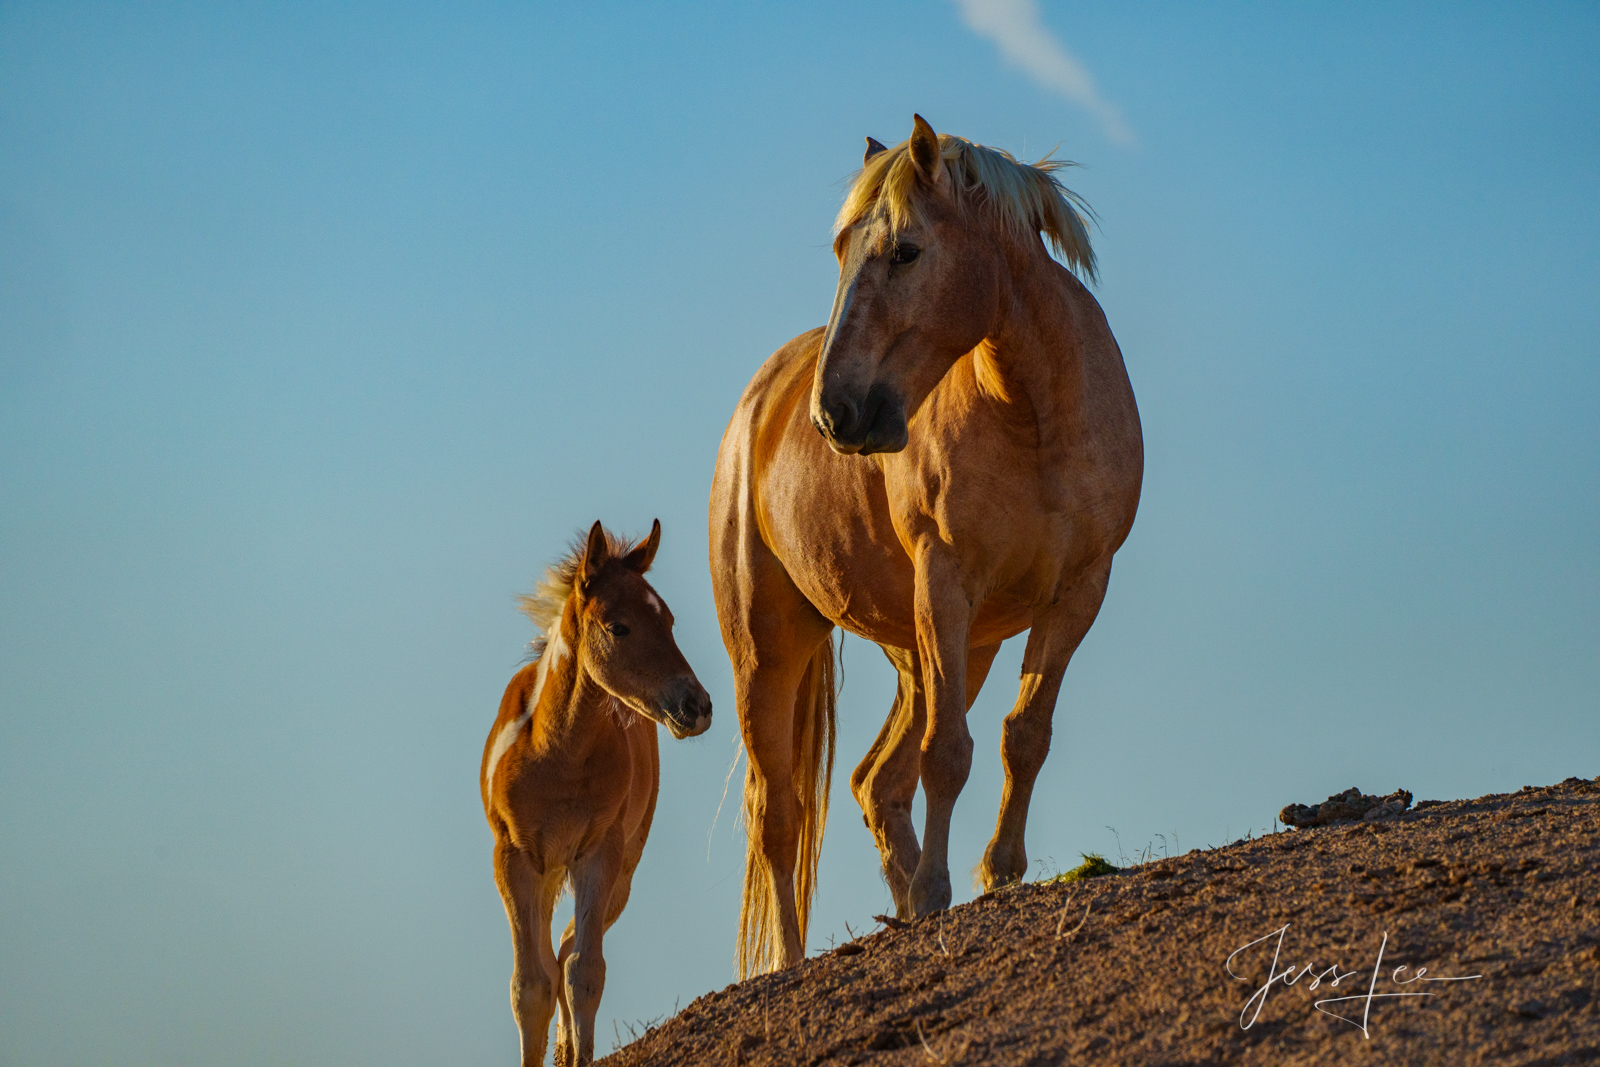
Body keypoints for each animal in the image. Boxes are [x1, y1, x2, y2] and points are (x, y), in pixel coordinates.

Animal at [476, 524, 710, 1067]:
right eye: (618, 627)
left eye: (668, 620)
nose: (697, 705)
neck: (557, 754)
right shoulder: (513, 859)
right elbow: (529, 986)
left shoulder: (599, 853)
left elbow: (584, 972)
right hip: (543, 875)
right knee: (548, 958)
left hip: (622, 872)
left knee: (565, 952)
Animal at [710, 115, 1139, 979]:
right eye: (842, 251)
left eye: (905, 252)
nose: (836, 414)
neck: (1033, 417)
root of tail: (756, 408)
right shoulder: (946, 584)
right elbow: (949, 753)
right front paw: (940, 889)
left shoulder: (1079, 590)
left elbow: (1023, 735)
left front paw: (997, 873)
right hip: (771, 651)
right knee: (780, 810)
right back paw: (797, 956)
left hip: (939, 649)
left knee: (876, 781)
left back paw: (901, 901)